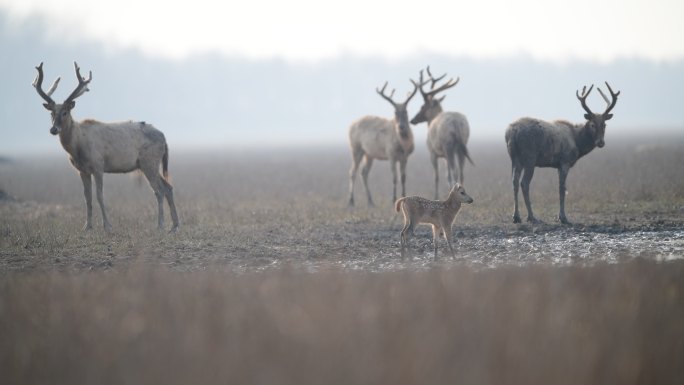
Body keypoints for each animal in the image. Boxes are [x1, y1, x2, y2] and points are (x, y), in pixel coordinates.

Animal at [33, 61, 179, 232]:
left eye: (65, 112)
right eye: (52, 113)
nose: (54, 129)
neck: (78, 146)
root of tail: (164, 138)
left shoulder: (98, 164)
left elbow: (99, 196)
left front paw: (107, 226)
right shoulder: (82, 170)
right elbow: (87, 198)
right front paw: (87, 226)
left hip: (149, 162)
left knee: (159, 190)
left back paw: (160, 225)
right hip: (149, 164)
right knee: (168, 187)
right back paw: (174, 225)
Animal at [408, 66, 472, 198]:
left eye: (422, 106)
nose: (412, 120)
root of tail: (455, 123)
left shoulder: (433, 152)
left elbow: (436, 176)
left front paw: (436, 196)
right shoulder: (445, 156)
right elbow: (446, 176)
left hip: (448, 146)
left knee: (455, 172)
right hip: (462, 146)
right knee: (461, 172)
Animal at [504, 82, 624, 224]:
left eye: (604, 125)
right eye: (592, 124)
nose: (601, 142)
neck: (578, 143)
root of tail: (512, 132)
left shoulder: (557, 165)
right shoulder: (565, 161)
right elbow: (562, 189)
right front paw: (563, 217)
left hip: (514, 158)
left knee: (514, 182)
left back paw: (516, 216)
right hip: (530, 158)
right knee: (524, 183)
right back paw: (531, 216)